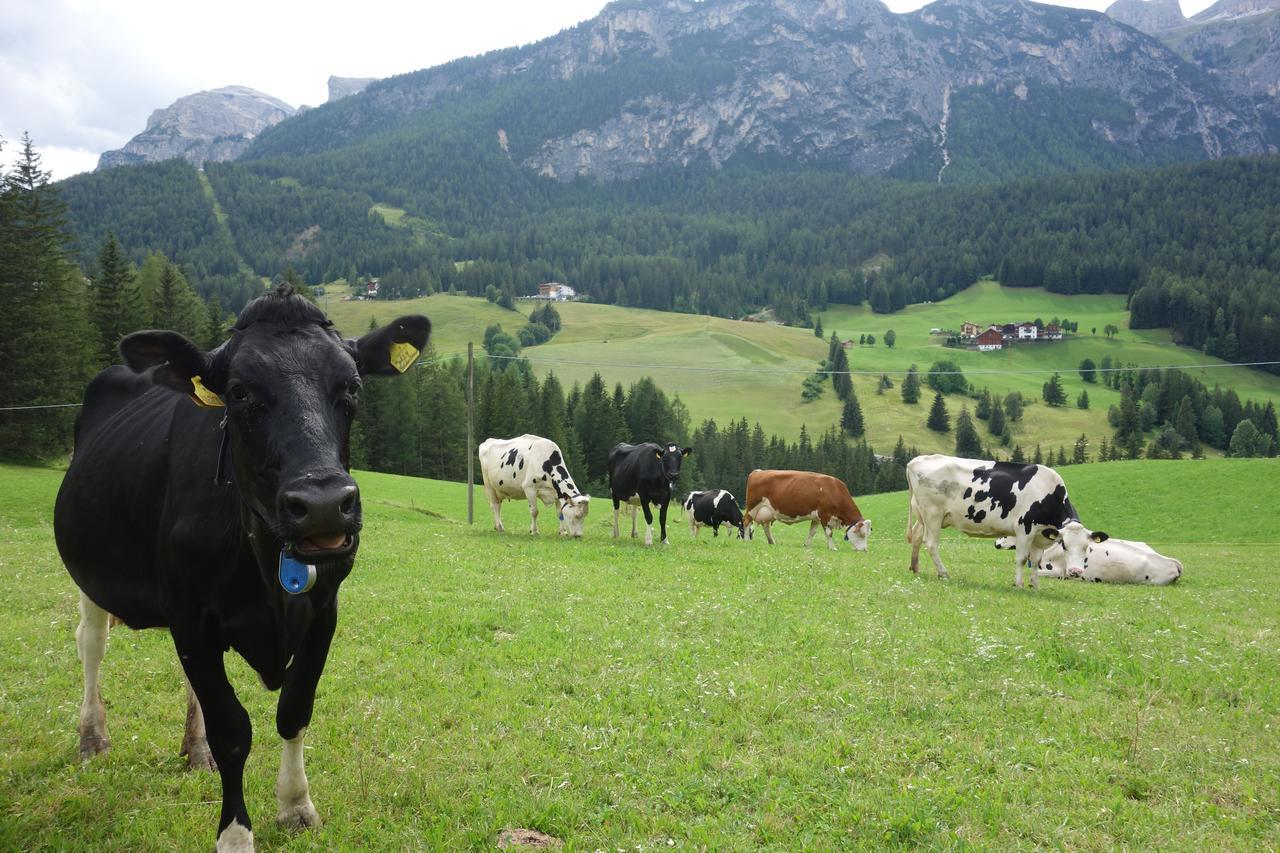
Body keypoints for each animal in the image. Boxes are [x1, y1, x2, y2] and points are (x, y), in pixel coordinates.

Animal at [52, 281, 430, 845]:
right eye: (238, 392)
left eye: (353, 386)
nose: (323, 504)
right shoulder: (191, 616)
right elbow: (233, 731)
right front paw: (234, 835)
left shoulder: (323, 611)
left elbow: (294, 709)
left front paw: (296, 806)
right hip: (93, 574)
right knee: (91, 643)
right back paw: (92, 738)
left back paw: (194, 750)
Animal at [742, 468, 870, 548]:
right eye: (861, 534)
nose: (864, 550)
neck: (834, 490)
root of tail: (758, 472)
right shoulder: (824, 514)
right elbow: (829, 533)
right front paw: (832, 547)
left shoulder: (816, 517)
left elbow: (812, 532)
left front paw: (807, 545)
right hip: (752, 507)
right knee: (746, 521)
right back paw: (747, 540)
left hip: (767, 511)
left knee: (766, 527)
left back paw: (772, 542)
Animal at [906, 450, 1105, 584]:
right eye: (1064, 545)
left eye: (1087, 547)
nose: (1075, 572)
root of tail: (916, 460)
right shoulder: (1025, 528)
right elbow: (1022, 558)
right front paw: (1018, 584)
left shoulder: (1039, 534)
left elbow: (1036, 561)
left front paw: (1035, 585)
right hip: (933, 513)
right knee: (931, 543)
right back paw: (943, 573)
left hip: (923, 514)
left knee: (917, 536)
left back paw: (915, 568)